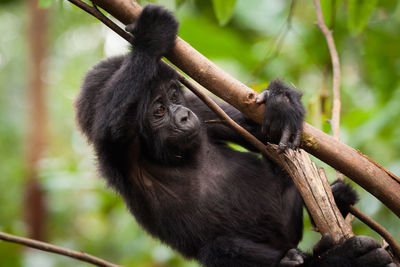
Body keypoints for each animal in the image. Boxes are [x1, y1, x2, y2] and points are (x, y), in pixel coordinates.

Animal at [75, 4, 394, 267]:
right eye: (158, 110)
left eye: (174, 95)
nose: (182, 116)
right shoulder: (117, 152)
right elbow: (111, 126)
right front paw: (149, 40)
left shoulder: (199, 107)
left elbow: (258, 131)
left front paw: (281, 104)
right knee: (219, 249)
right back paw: (327, 259)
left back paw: (337, 201)